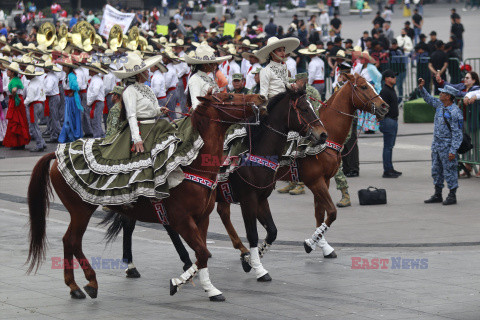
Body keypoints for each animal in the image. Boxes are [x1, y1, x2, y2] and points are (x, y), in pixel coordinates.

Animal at [25, 91, 264, 302]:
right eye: (229, 96)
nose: (260, 97)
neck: (192, 164)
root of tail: (56, 154)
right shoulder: (181, 220)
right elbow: (203, 253)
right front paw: (179, 283)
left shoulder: (202, 219)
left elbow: (202, 254)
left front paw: (208, 288)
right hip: (80, 210)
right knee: (73, 241)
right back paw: (89, 282)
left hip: (81, 211)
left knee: (68, 241)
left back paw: (74, 287)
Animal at [218, 74, 390, 266]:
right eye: (363, 87)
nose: (385, 106)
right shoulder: (314, 181)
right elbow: (331, 212)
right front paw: (311, 243)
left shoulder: (324, 180)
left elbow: (319, 213)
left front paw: (322, 245)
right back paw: (244, 251)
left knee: (223, 212)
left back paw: (243, 249)